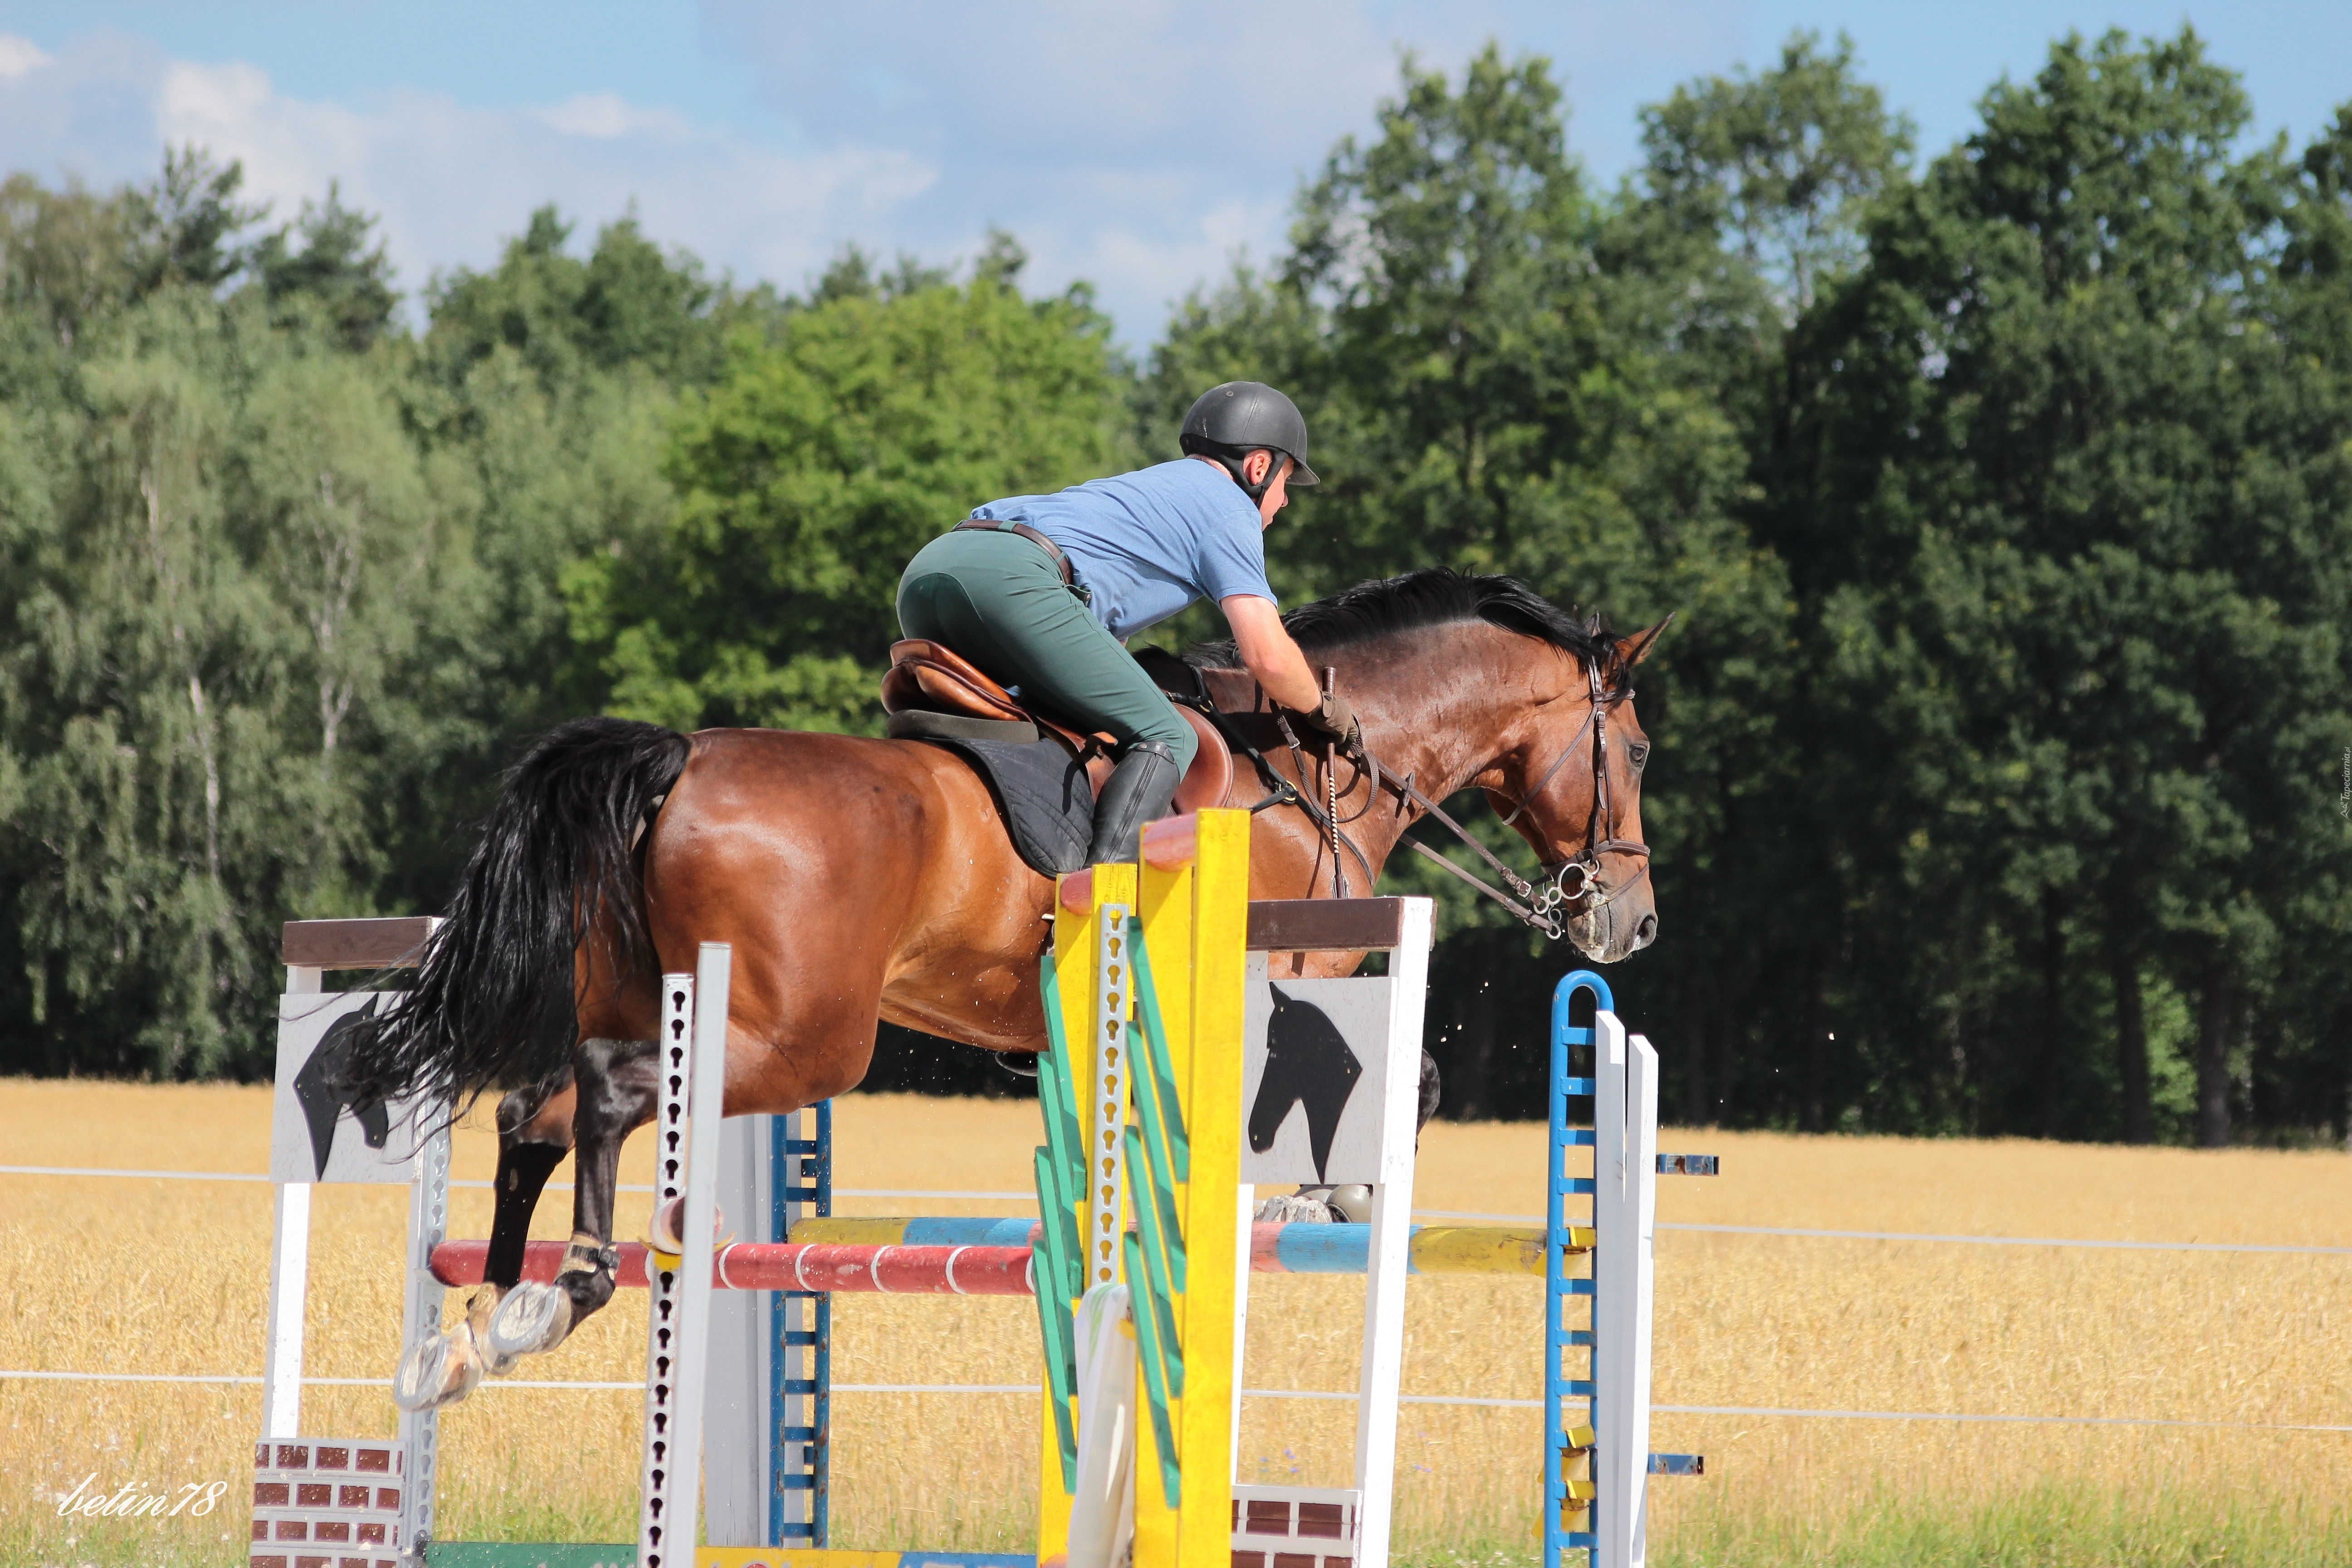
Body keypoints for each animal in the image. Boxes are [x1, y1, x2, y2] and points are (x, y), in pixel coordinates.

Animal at [353, 573, 1675, 1410]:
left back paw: (483, 1328)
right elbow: (1405, 1085)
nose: (1630, 919)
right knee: (604, 1095)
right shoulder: (1277, 987)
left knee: (531, 1108)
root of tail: (677, 760)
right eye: (1639, 749)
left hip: (660, 996)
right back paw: (563, 1288)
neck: (1309, 779)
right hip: (798, 1036)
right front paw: (1330, 1199)